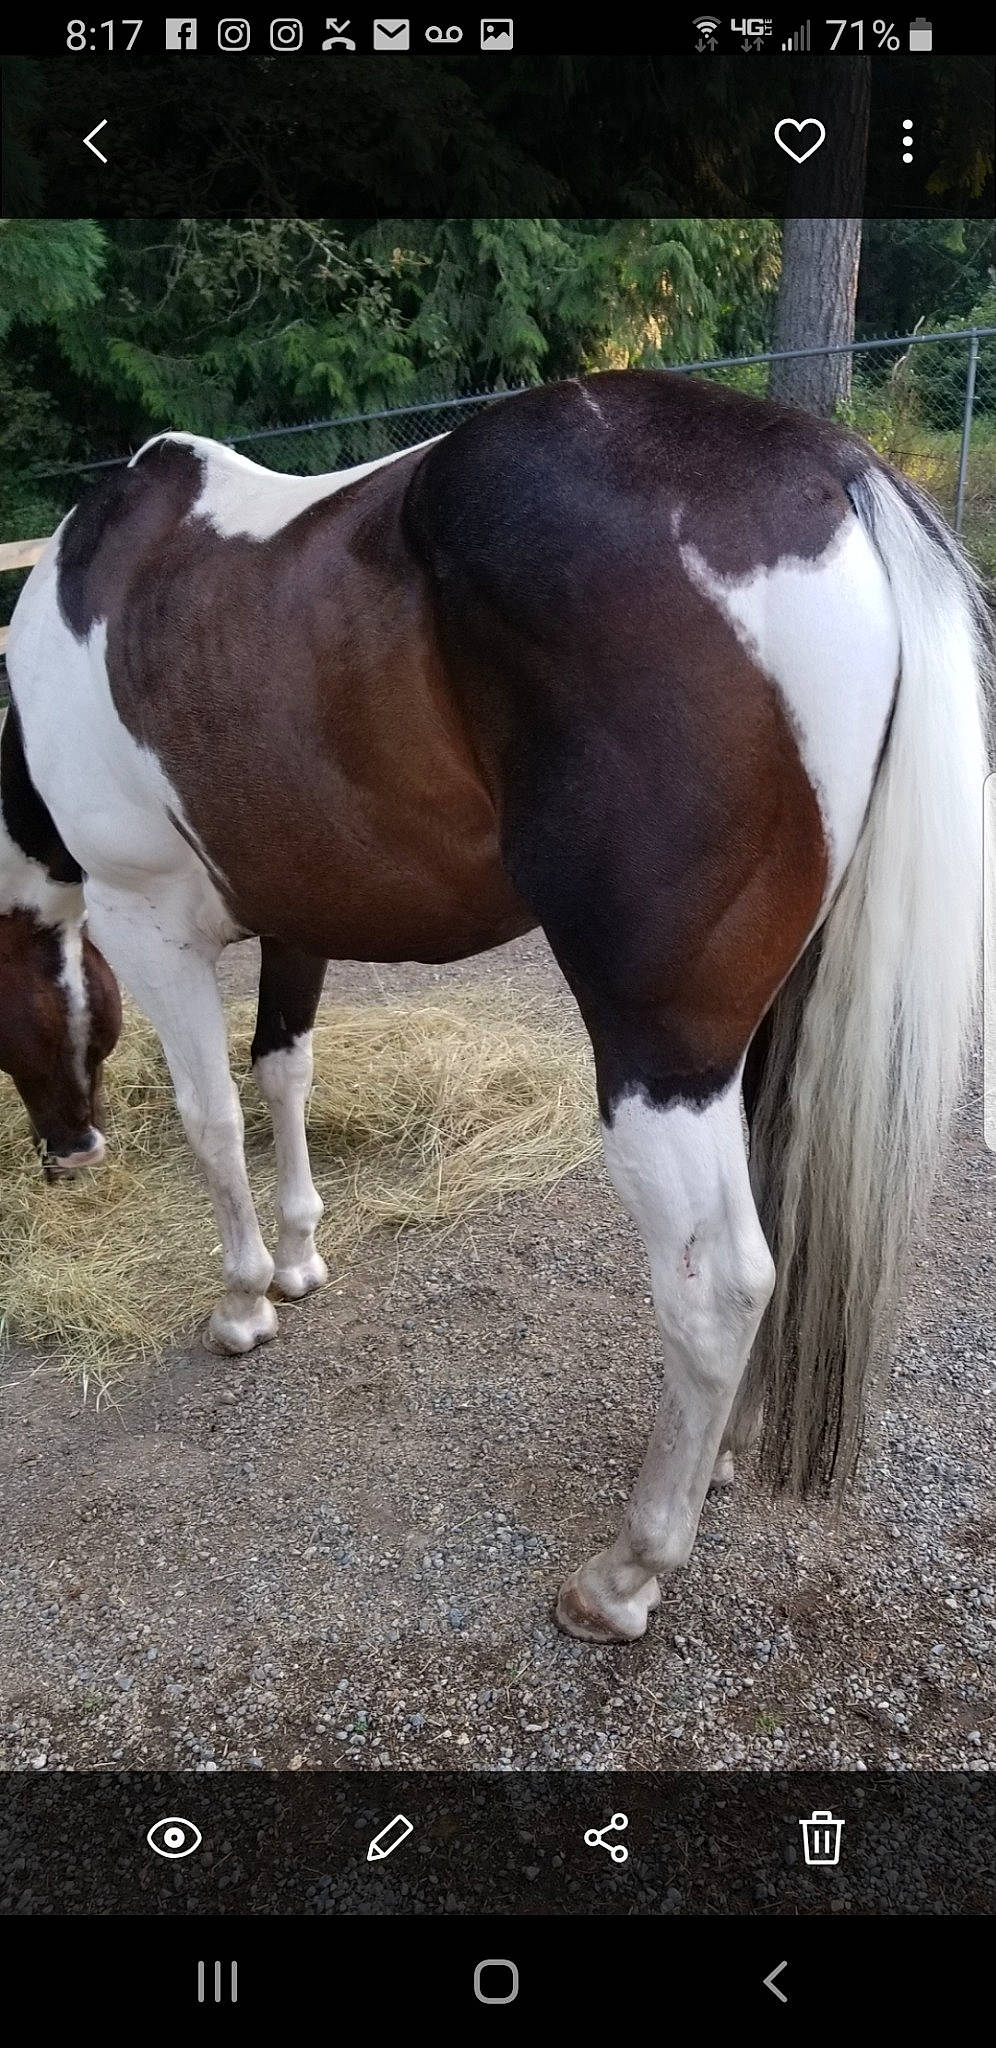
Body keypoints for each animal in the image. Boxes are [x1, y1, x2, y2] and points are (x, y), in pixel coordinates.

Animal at [2, 370, 990, 1643]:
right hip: (777, 1025)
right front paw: (301, 1256)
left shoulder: (148, 922)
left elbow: (211, 1117)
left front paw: (242, 1300)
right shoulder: (302, 917)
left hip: (664, 1052)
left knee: (720, 1281)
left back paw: (629, 1568)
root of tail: (829, 469)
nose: (68, 1152)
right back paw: (724, 1451)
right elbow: (283, 1070)